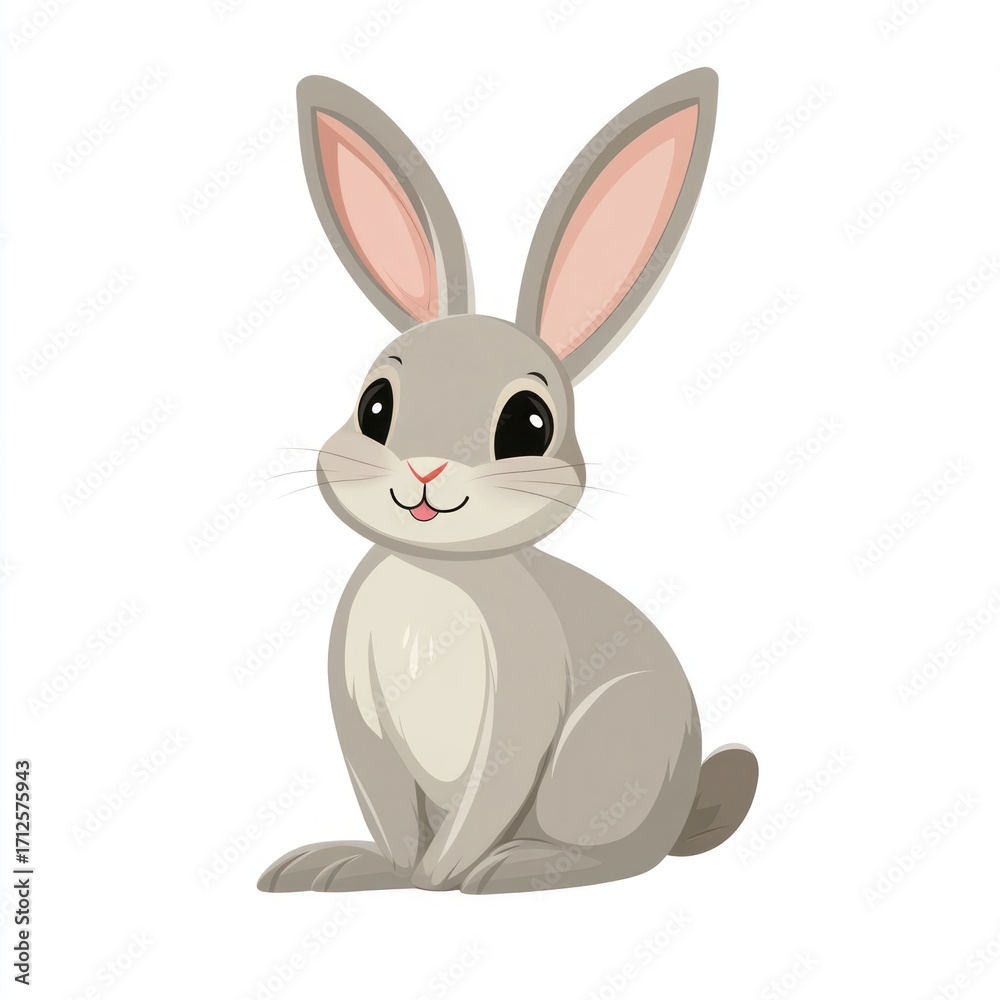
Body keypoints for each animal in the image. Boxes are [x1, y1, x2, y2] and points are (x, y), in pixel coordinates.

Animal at [258, 68, 758, 895]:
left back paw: (520, 865)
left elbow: (485, 800)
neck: (436, 574)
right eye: (374, 407)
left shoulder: (520, 708)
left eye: (529, 424)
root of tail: (683, 807)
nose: (426, 470)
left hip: (599, 755)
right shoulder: (362, 723)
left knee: (618, 854)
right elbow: (390, 815)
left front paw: (442, 878)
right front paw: (365, 869)